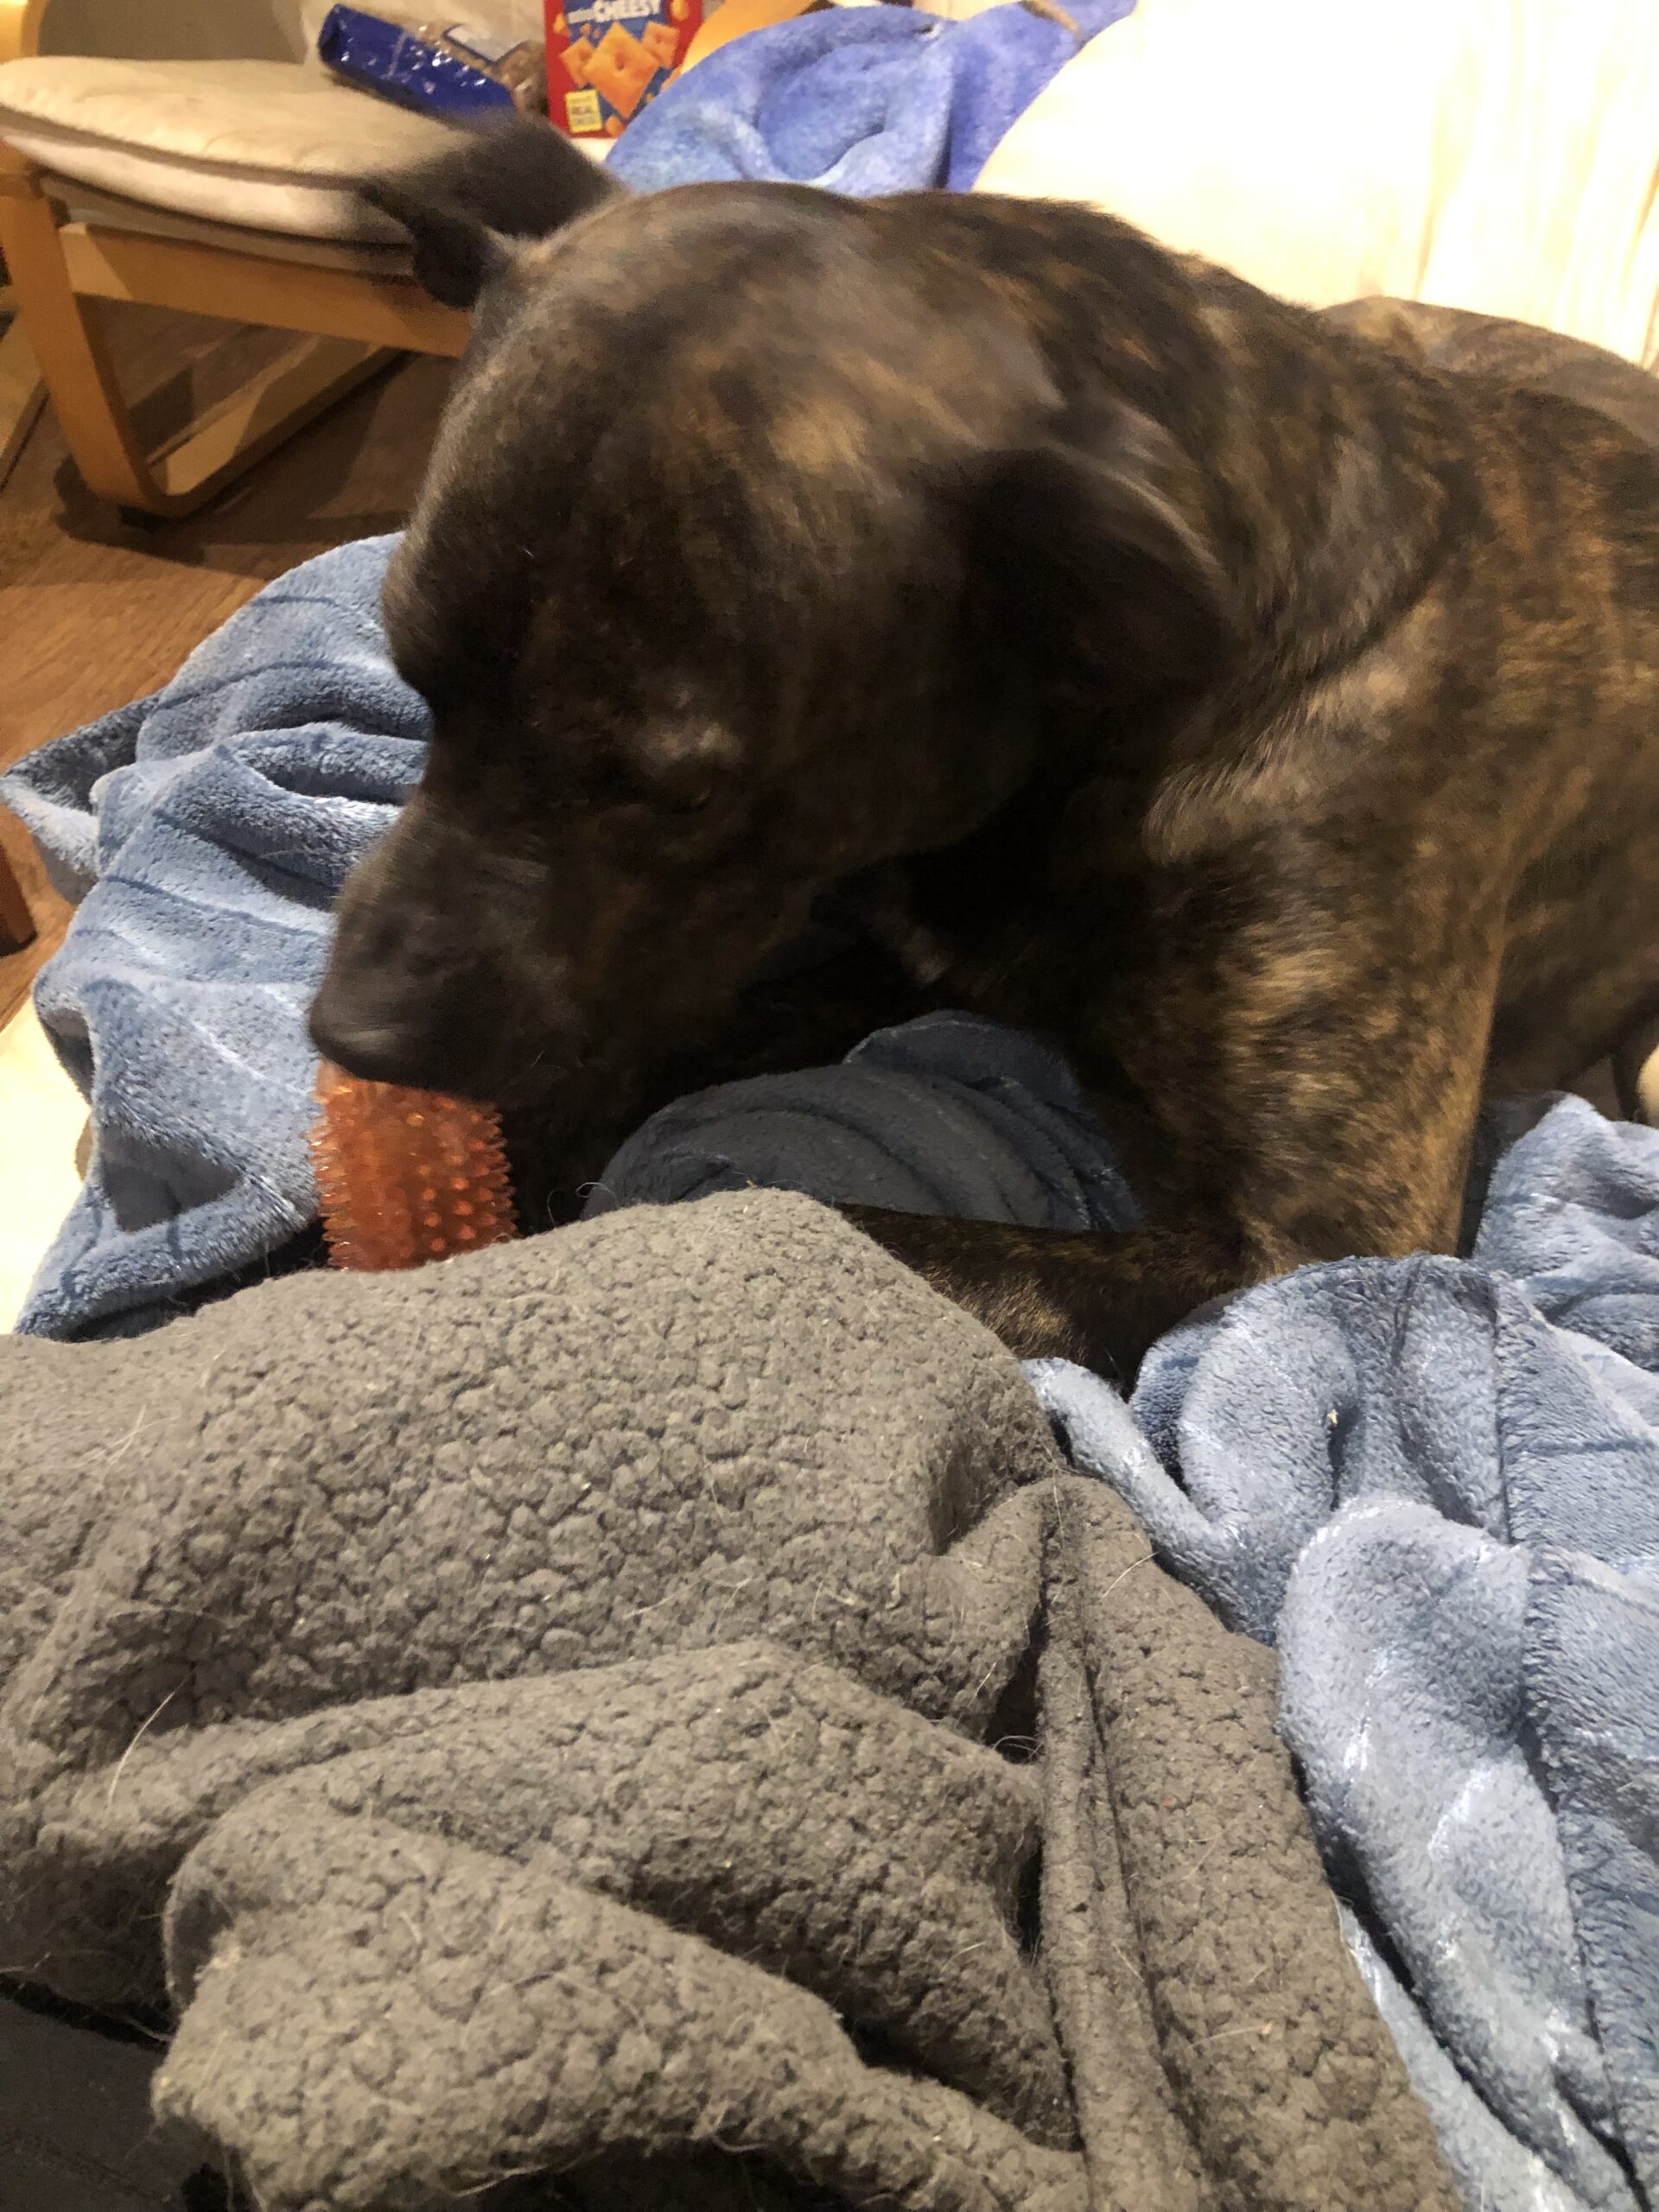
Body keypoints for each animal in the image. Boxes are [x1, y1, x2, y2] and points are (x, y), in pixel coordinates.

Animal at [309, 120, 1659, 1380]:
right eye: (412, 676)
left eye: (680, 793)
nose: (352, 1038)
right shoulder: (890, 953)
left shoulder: (1321, 1244)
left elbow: (821, 1226)